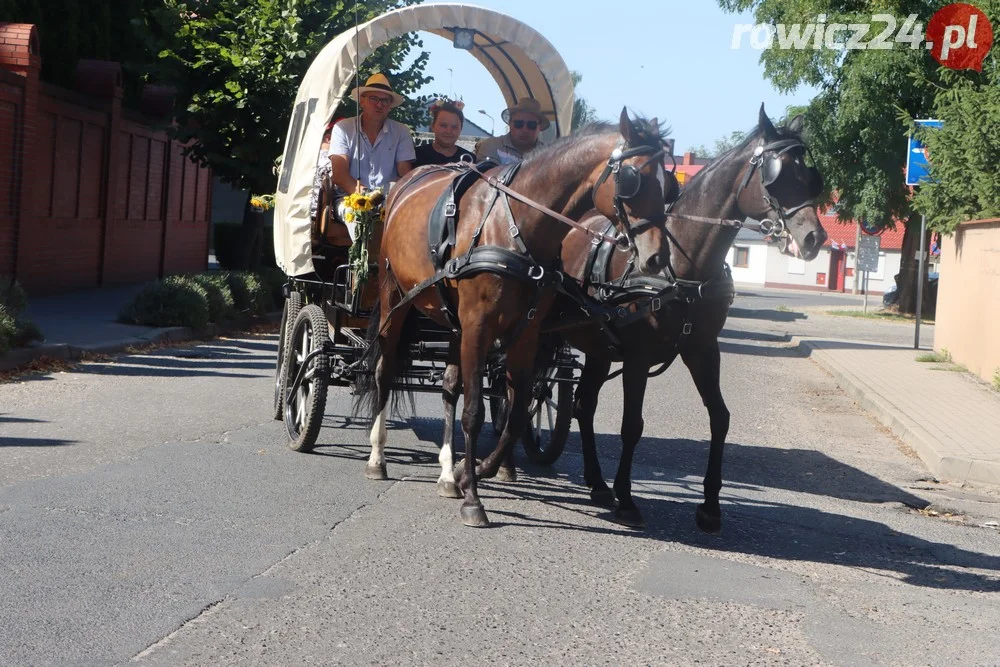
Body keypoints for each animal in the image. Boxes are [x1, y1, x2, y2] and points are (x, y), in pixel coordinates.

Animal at [356, 108, 676, 528]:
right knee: (385, 368)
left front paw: (470, 472)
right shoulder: (479, 326)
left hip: (454, 322)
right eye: (632, 179)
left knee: (449, 386)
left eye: (669, 185)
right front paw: (473, 498)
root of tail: (405, 183)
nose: (656, 259)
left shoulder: (524, 333)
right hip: (394, 297)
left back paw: (446, 473)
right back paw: (377, 457)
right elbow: (475, 412)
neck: (515, 226)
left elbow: (517, 412)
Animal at [556, 105, 828, 532]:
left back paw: (597, 483)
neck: (682, 270)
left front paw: (710, 505)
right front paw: (627, 499)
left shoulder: (702, 350)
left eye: (809, 177)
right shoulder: (637, 358)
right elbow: (632, 426)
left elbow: (720, 417)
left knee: (584, 405)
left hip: (598, 348)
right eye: (778, 175)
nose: (815, 239)